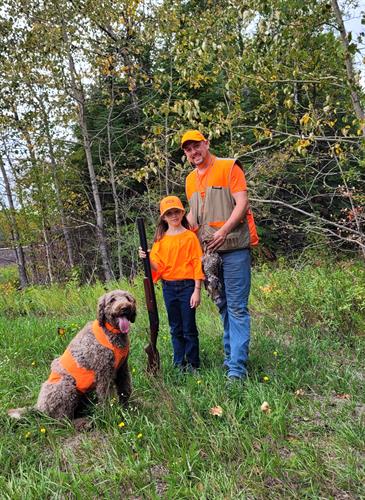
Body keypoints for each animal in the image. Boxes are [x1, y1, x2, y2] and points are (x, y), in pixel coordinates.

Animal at [8, 292, 136, 420]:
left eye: (128, 298)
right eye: (112, 300)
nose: (125, 307)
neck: (111, 333)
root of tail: (39, 407)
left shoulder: (122, 368)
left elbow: (125, 389)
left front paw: (127, 409)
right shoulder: (104, 373)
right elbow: (107, 398)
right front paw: (111, 415)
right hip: (66, 387)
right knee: (61, 419)